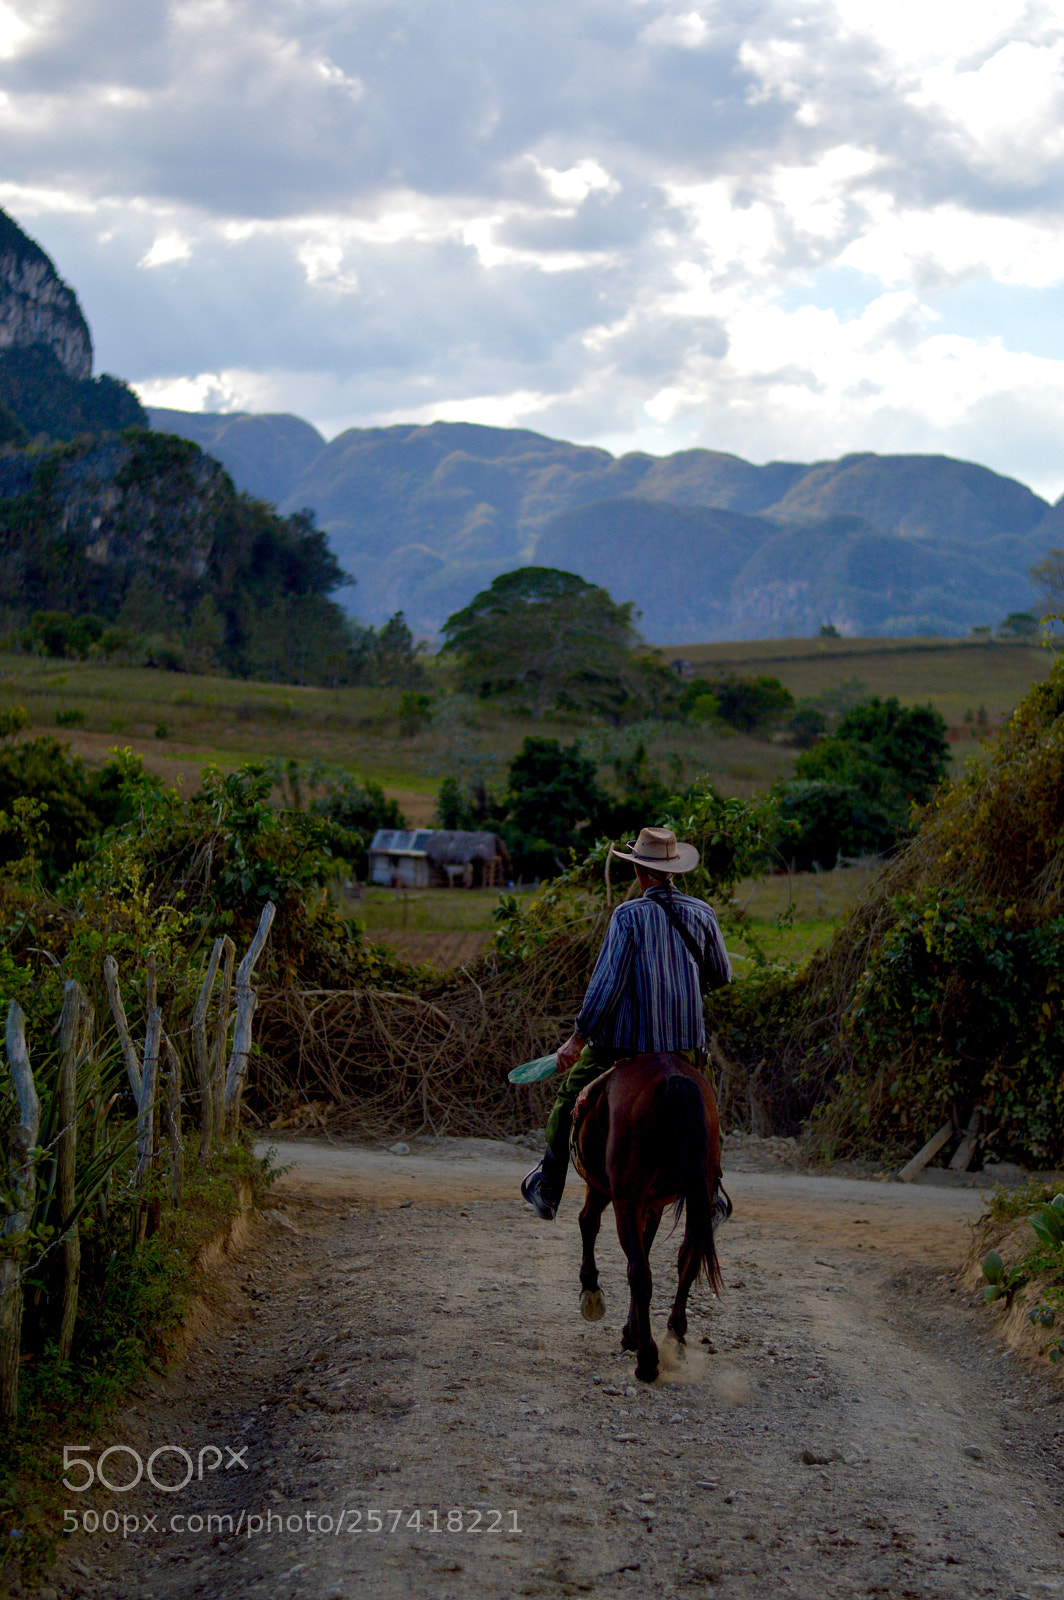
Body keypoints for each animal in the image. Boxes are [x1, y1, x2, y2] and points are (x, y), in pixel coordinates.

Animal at [572, 1049, 723, 1388]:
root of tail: (672, 1077)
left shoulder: (616, 1193)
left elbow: (591, 1223)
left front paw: (592, 1291)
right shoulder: (651, 1203)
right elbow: (648, 1248)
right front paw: (633, 1331)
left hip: (623, 1195)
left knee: (638, 1270)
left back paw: (648, 1360)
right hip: (698, 1192)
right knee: (687, 1258)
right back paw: (674, 1335)